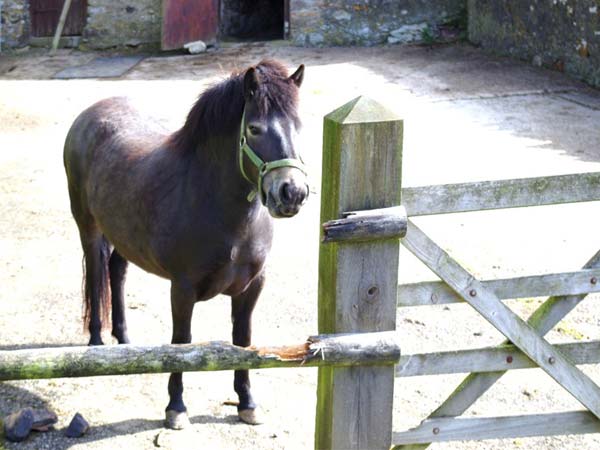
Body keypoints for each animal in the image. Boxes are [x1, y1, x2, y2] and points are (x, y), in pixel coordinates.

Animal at [64, 59, 310, 428]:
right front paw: (176, 407)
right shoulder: (182, 289)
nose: (291, 193)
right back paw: (97, 343)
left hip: (123, 235)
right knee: (96, 276)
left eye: (299, 126)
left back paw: (125, 341)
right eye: (254, 129)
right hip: (89, 227)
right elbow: (182, 343)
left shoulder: (252, 286)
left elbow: (243, 341)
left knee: (116, 272)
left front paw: (247, 402)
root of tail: (89, 114)